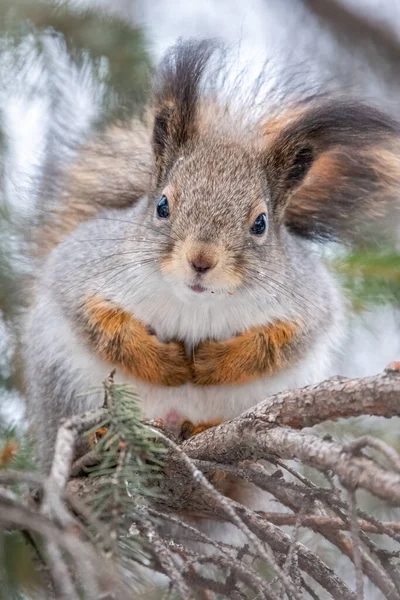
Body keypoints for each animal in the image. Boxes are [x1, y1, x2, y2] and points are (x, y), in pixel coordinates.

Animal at [22, 38, 400, 474]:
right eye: (162, 205)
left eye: (260, 223)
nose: (201, 261)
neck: (195, 304)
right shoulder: (79, 269)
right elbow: (100, 323)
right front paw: (164, 362)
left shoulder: (309, 302)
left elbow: (282, 342)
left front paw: (213, 363)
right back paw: (99, 440)